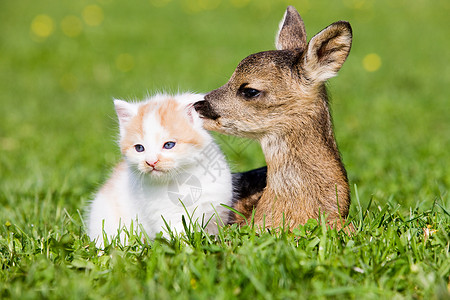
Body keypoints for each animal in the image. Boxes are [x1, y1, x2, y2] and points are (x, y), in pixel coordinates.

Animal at [86, 94, 232, 246]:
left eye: (168, 145)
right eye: (139, 148)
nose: (151, 162)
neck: (182, 179)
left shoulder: (216, 209)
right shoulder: (167, 216)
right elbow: (180, 238)